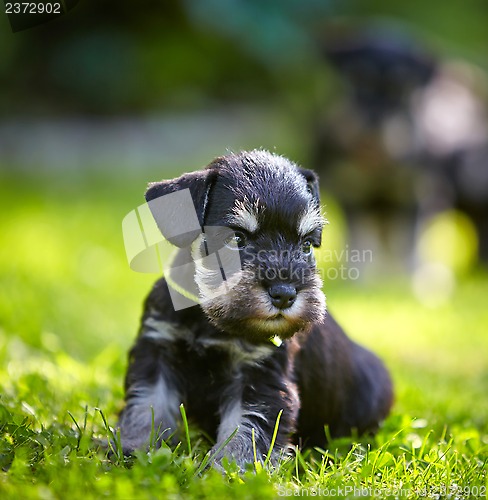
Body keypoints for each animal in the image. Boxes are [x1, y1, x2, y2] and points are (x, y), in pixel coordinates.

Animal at [118, 149, 392, 468]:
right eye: (237, 238)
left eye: (306, 245)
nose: (284, 294)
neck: (211, 320)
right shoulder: (157, 350)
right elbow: (148, 404)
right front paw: (132, 448)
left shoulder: (260, 376)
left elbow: (245, 428)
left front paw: (230, 469)